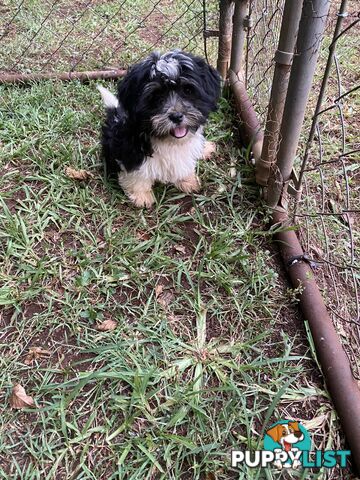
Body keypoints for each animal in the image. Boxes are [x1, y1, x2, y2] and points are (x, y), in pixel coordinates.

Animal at [98, 49, 222, 208]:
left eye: (187, 90)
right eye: (156, 96)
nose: (176, 116)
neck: (169, 140)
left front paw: (187, 180)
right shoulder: (130, 149)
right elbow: (137, 172)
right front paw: (141, 195)